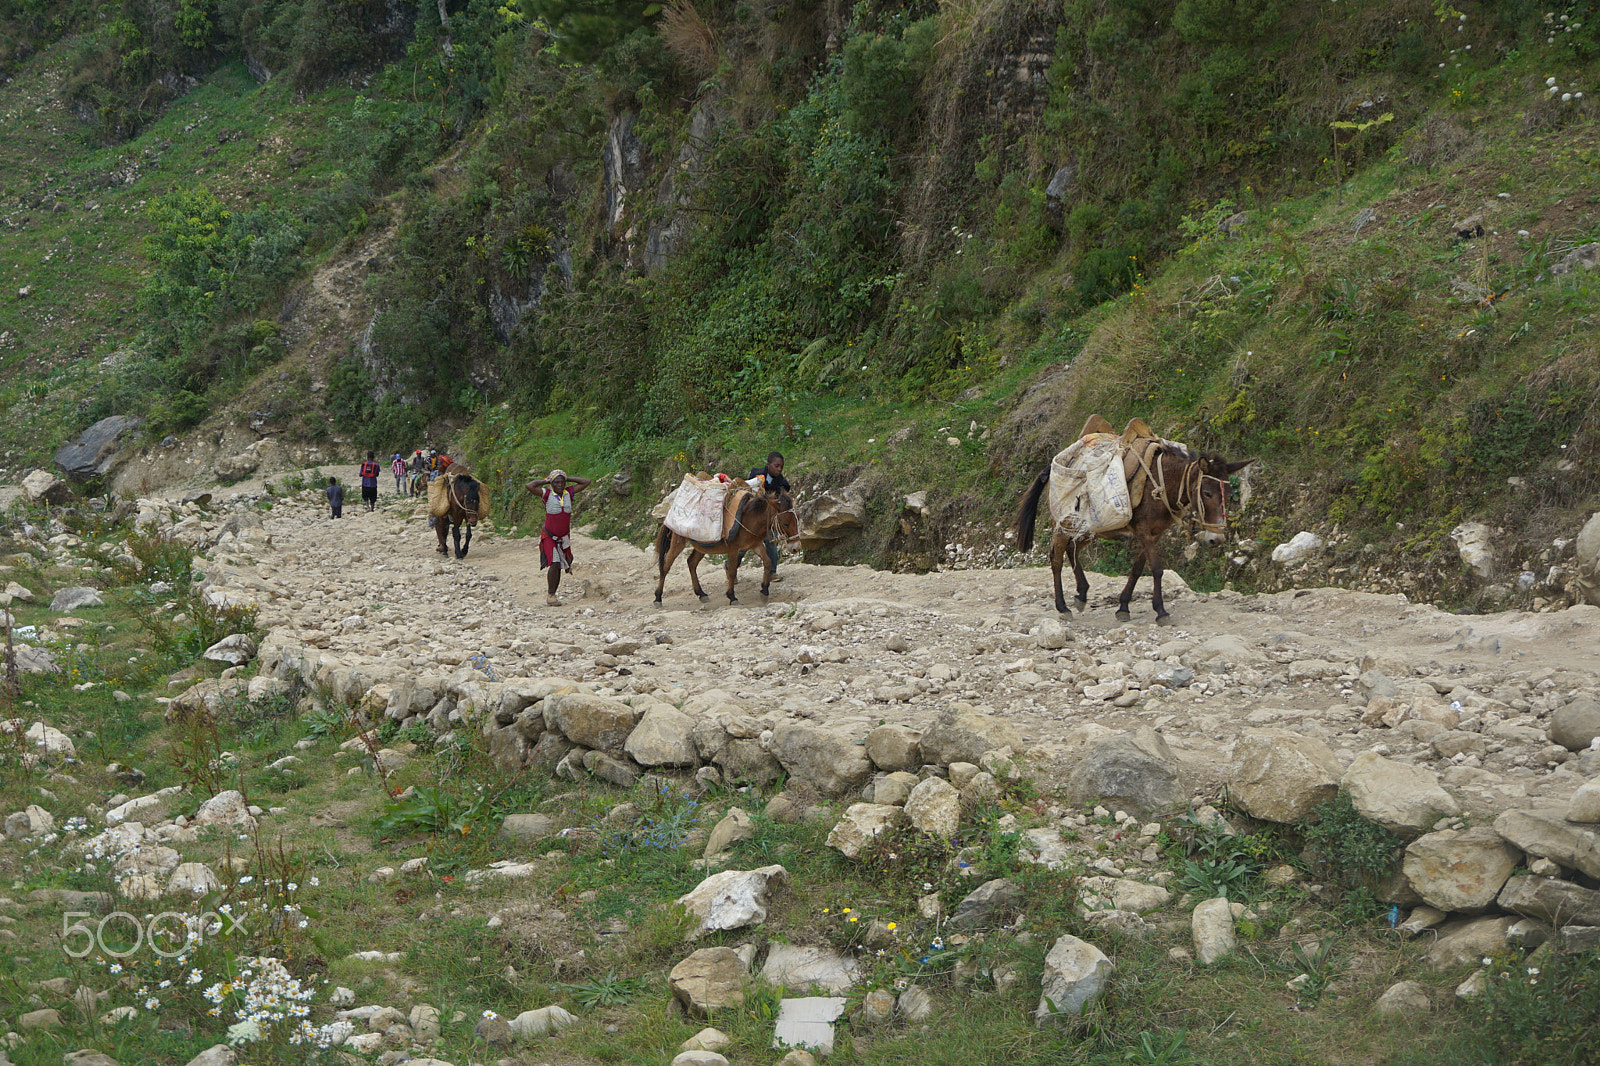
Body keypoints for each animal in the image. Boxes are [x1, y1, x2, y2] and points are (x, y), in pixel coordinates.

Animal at [652, 470, 796, 601]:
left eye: (797, 519)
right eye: (785, 523)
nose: (795, 547)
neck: (749, 518)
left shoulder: (755, 544)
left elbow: (767, 561)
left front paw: (764, 590)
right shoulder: (733, 548)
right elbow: (732, 571)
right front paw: (732, 596)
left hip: (703, 545)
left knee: (691, 562)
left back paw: (701, 594)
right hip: (678, 540)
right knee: (666, 566)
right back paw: (658, 597)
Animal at [1017, 409, 1254, 617]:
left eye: (1230, 493)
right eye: (1206, 493)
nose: (1217, 538)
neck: (1161, 483)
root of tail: (1051, 466)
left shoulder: (1155, 533)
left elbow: (1138, 568)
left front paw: (1123, 607)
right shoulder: (1142, 530)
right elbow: (1156, 568)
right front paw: (1160, 611)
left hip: (1091, 528)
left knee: (1072, 549)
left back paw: (1082, 594)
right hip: (1064, 524)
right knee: (1056, 558)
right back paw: (1062, 606)